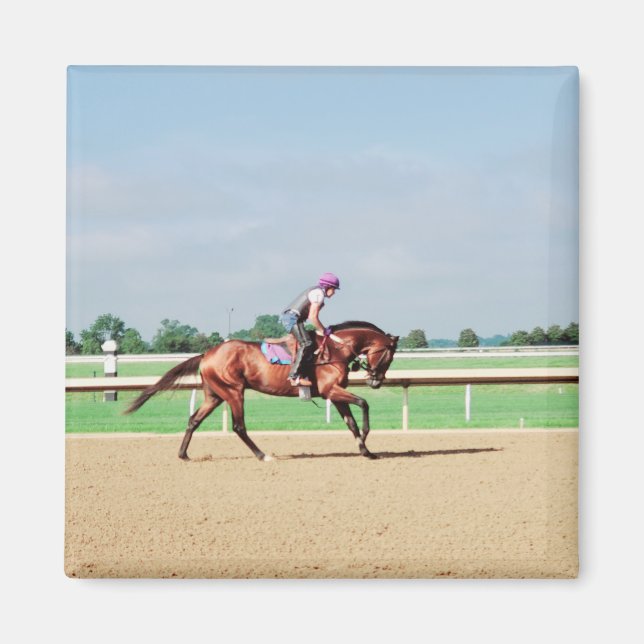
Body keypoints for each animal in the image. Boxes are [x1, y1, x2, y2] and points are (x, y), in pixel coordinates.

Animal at [124, 321, 399, 461]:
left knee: (194, 420)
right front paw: (366, 437)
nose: (377, 381)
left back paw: (183, 454)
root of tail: (207, 354)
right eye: (389, 357)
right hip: (234, 391)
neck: (335, 350)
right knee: (239, 426)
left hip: (215, 395)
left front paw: (366, 451)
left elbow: (351, 422)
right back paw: (262, 455)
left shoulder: (333, 393)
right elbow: (363, 404)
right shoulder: (332, 389)